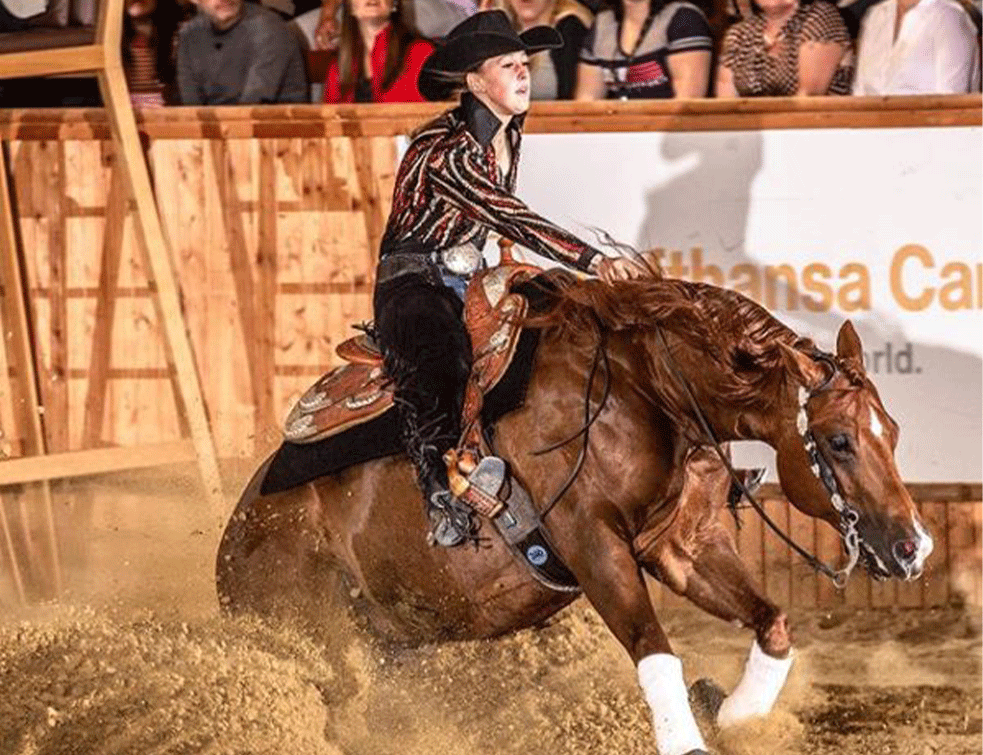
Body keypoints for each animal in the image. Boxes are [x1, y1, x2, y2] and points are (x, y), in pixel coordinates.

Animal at [217, 274, 936, 755]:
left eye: (895, 432)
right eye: (838, 441)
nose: (913, 547)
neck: (647, 387)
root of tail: (238, 534)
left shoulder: (682, 543)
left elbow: (773, 624)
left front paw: (729, 711)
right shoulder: (592, 545)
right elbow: (655, 651)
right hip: (311, 633)